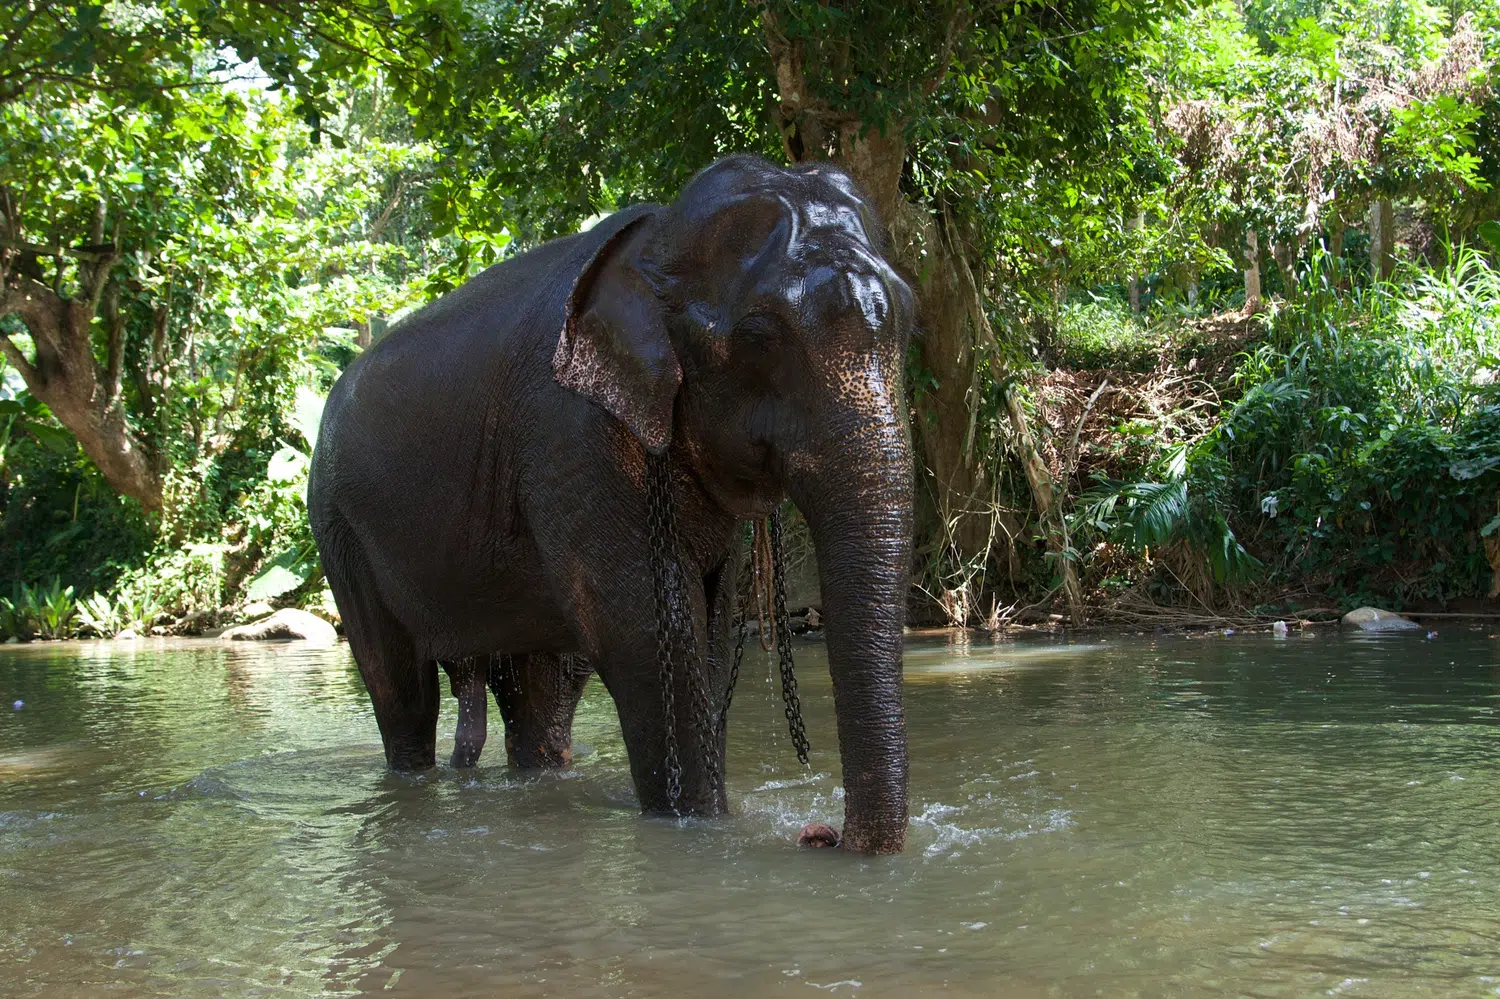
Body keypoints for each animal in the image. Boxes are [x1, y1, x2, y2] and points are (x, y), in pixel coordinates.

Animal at [308, 154, 916, 853]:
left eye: (910, 319)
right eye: (759, 337)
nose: (823, 836)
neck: (656, 241)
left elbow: (708, 630)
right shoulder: (572, 435)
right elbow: (648, 629)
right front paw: (700, 828)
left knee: (540, 693)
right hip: (338, 525)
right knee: (399, 685)